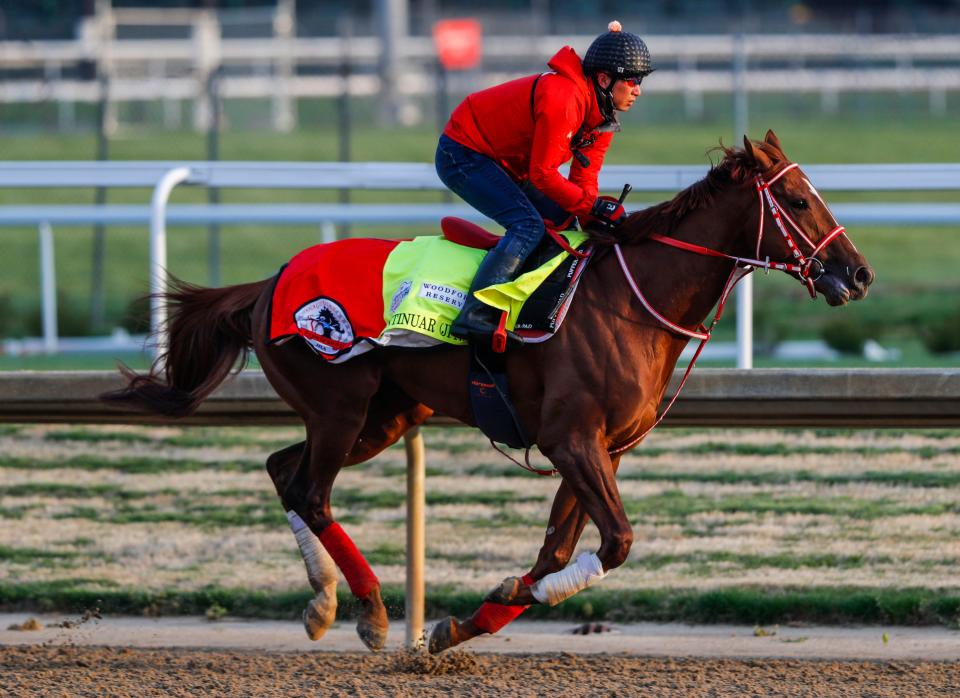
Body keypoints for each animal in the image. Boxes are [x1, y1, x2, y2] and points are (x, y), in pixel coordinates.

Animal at [101, 132, 872, 652]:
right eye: (797, 199)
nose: (858, 273)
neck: (630, 300)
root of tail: (270, 282)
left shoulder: (601, 450)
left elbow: (560, 552)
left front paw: (468, 622)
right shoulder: (570, 440)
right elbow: (616, 543)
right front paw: (464, 617)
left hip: (380, 417)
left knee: (283, 472)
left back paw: (323, 602)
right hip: (339, 405)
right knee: (311, 492)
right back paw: (371, 612)